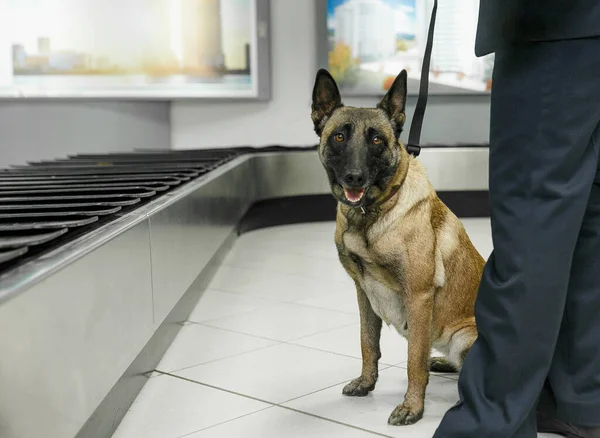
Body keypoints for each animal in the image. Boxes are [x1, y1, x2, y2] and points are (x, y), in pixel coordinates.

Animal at [312, 70, 486, 426]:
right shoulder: (363, 292)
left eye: (377, 140)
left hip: (465, 338)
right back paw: (444, 363)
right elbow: (367, 343)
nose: (354, 178)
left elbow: (413, 361)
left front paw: (412, 407)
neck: (370, 216)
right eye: (339, 137)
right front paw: (366, 382)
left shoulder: (418, 298)